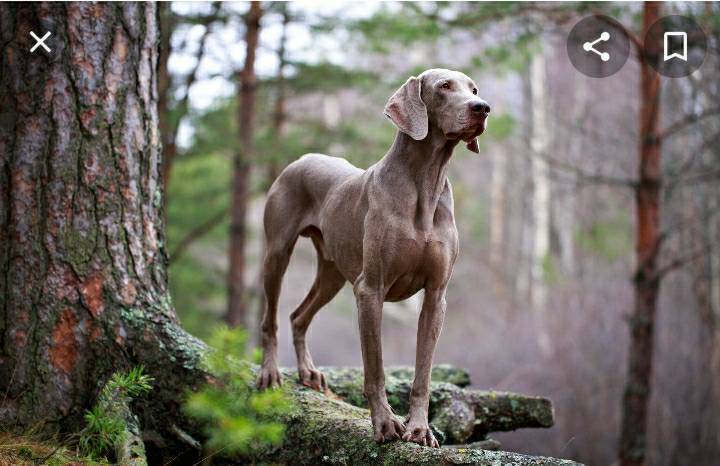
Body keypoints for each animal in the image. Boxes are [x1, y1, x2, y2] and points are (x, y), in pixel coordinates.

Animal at [258, 67, 490, 446]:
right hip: (277, 253)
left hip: (333, 273)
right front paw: (384, 423)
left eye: (473, 89)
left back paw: (309, 372)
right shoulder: (370, 290)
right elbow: (375, 369)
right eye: (444, 86)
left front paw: (419, 429)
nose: (482, 108)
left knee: (297, 316)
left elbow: (423, 374)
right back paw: (269, 373)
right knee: (271, 318)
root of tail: (303, 158)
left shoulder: (435, 297)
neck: (425, 184)